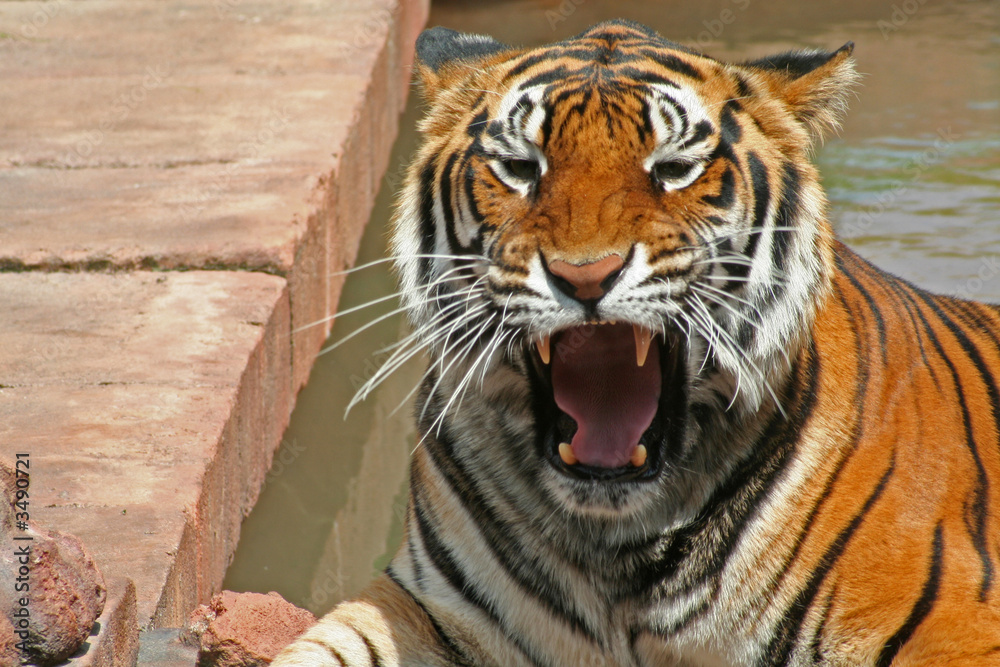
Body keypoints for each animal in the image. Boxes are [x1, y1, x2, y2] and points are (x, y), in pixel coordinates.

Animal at [273, 19, 1000, 667]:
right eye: (520, 167)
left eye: (674, 169)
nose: (585, 275)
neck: (614, 551)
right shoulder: (430, 605)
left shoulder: (954, 625)